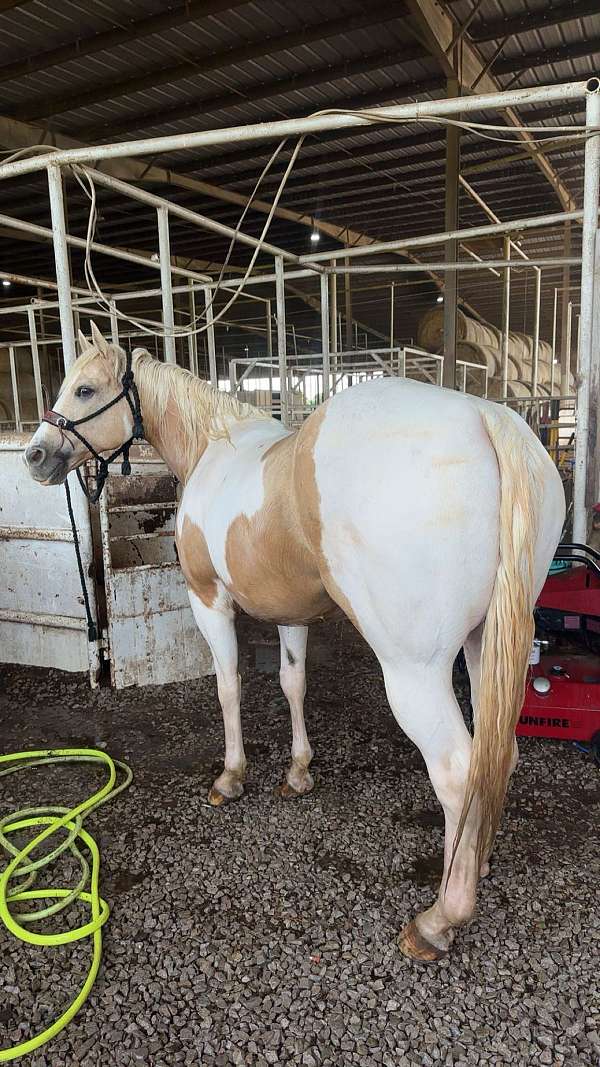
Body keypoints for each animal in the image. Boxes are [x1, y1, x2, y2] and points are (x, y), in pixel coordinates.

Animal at [25, 323, 565, 960]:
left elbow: (229, 687)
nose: (34, 455)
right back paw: (473, 862)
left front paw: (231, 778)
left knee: (458, 771)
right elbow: (292, 683)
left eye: (84, 389)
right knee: (495, 754)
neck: (213, 449)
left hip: (414, 670)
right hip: (486, 646)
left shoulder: (209, 602)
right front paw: (299, 772)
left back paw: (439, 919)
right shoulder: (291, 612)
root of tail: (486, 416)